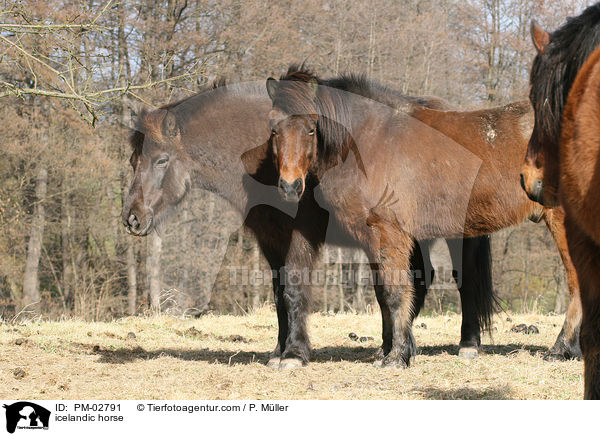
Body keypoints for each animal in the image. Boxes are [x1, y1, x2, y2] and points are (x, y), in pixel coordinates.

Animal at [266, 65, 580, 364]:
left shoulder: (389, 232)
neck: (371, 138)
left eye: (311, 129)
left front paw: (396, 356)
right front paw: (393, 349)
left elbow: (394, 293)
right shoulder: (375, 238)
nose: (290, 186)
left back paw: (560, 349)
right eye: (273, 130)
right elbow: (384, 293)